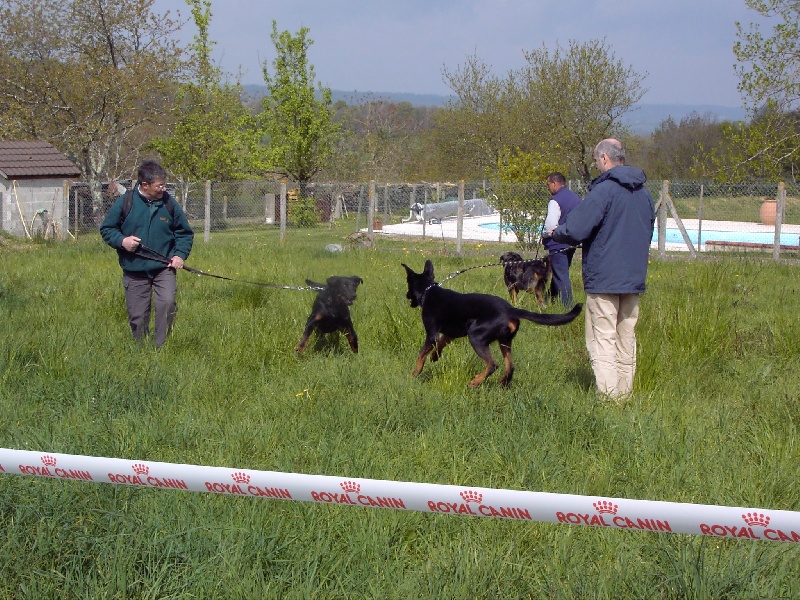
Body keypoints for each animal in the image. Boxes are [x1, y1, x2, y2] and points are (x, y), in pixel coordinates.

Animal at [400, 260, 580, 386]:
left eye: (408, 286)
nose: (407, 296)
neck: (429, 291)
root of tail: (511, 309)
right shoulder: (451, 333)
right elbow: (441, 343)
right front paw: (435, 356)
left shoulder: (432, 334)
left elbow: (421, 354)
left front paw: (415, 373)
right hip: (505, 341)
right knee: (510, 366)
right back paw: (503, 382)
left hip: (476, 337)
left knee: (492, 365)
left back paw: (476, 382)